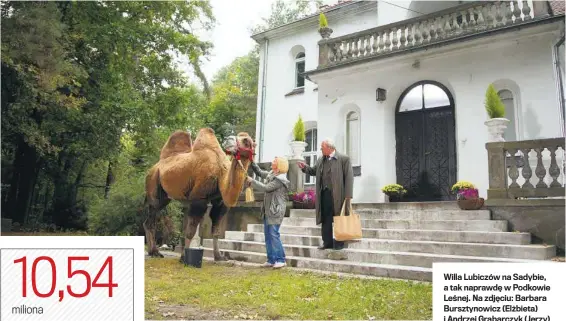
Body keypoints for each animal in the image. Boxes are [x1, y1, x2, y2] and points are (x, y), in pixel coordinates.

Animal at [142, 127, 255, 260]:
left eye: (246, 141)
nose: (228, 140)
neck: (220, 174)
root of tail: (155, 166)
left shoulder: (220, 202)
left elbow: (216, 231)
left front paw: (219, 257)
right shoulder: (199, 198)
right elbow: (190, 231)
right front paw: (185, 258)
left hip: (165, 196)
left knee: (151, 219)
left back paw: (152, 252)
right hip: (153, 182)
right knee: (151, 215)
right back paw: (155, 252)